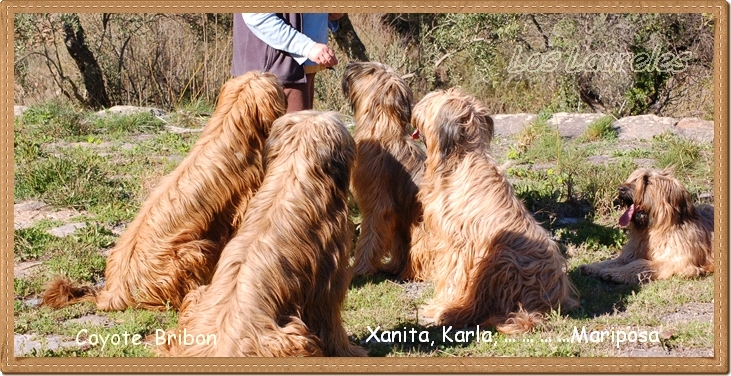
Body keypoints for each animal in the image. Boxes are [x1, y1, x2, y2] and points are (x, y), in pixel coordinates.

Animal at [158, 111, 368, 356]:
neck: (292, 173)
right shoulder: (329, 281)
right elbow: (332, 323)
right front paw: (350, 351)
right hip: (293, 337)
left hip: (196, 299)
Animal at [344, 61, 428, 278]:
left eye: (371, 71)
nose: (350, 64)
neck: (383, 129)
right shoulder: (397, 216)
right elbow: (397, 242)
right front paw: (392, 265)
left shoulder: (378, 201)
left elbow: (370, 235)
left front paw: (360, 268)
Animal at [412, 89, 576, 334]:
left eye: (430, 102)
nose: (413, 108)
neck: (460, 159)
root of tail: (545, 304)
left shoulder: (459, 244)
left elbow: (453, 278)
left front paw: (440, 307)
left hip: (503, 257)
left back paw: (460, 313)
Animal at [576, 169, 716, 284]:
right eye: (633, 178)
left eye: (647, 181)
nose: (621, 188)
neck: (654, 229)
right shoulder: (632, 253)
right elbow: (615, 260)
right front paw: (592, 267)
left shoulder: (677, 262)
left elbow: (640, 263)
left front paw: (613, 273)